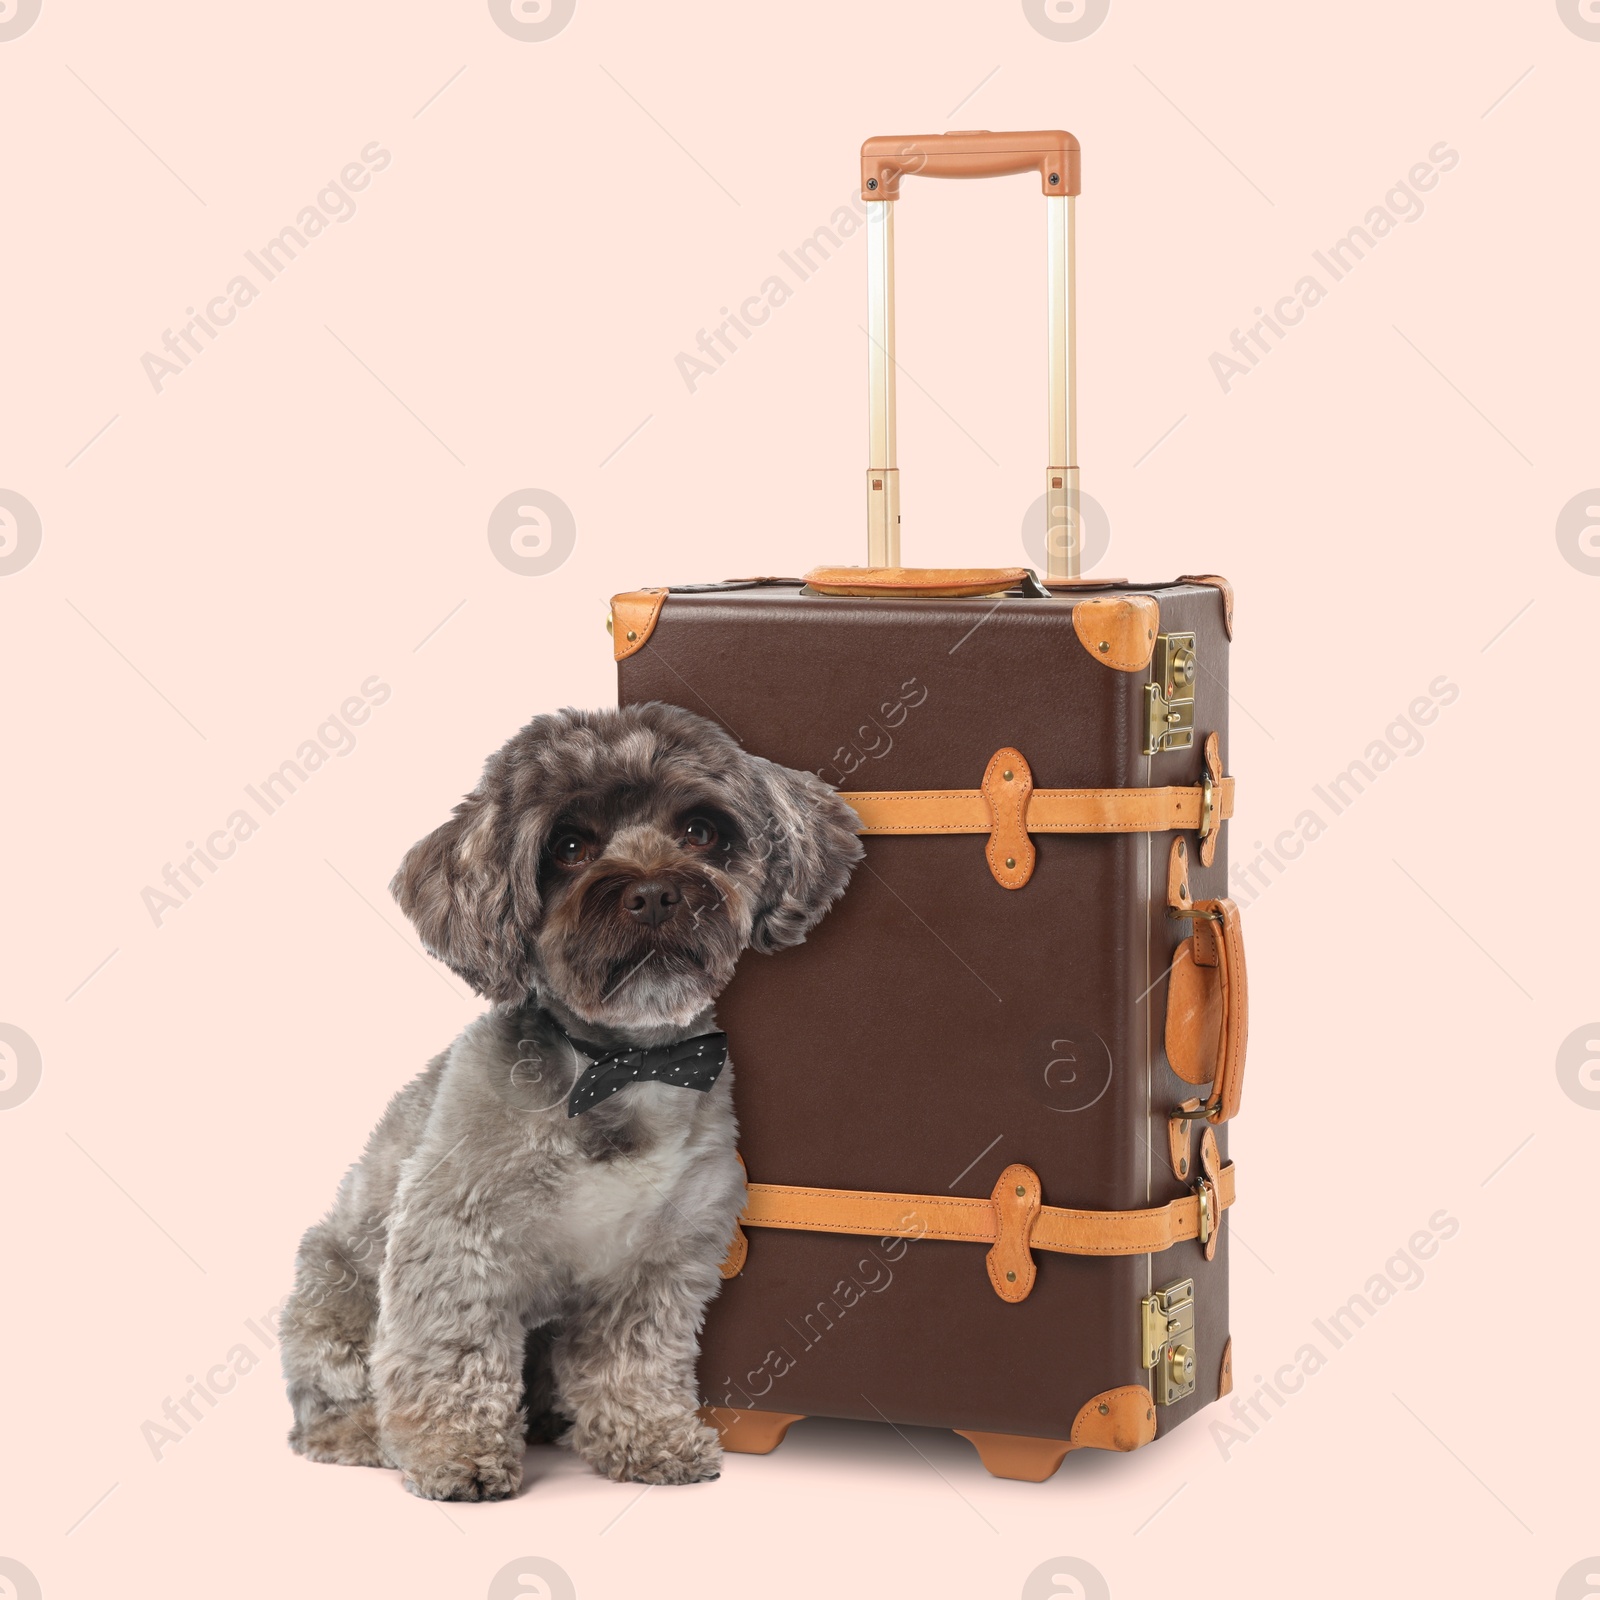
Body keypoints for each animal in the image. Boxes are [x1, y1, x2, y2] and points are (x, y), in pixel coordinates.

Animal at [281, 704, 870, 1497]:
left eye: (701, 831)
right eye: (567, 846)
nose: (653, 893)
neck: (617, 1065)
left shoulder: (656, 1262)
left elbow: (635, 1362)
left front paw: (647, 1439)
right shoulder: (455, 1241)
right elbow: (452, 1354)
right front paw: (457, 1453)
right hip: (331, 1299)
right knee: (327, 1402)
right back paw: (362, 1436)